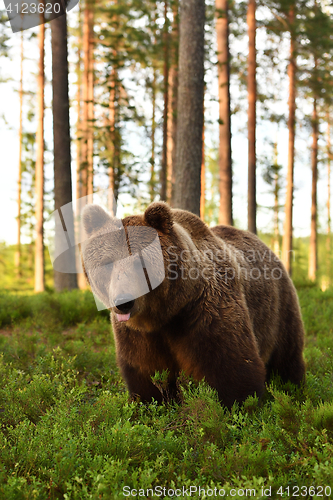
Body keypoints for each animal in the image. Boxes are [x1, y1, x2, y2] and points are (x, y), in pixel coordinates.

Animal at [80, 201, 304, 408]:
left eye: (140, 262)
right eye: (107, 263)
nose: (123, 302)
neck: (165, 312)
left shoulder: (205, 311)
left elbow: (229, 364)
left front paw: (240, 405)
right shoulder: (137, 334)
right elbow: (144, 368)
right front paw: (148, 402)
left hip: (279, 309)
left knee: (287, 355)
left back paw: (292, 386)